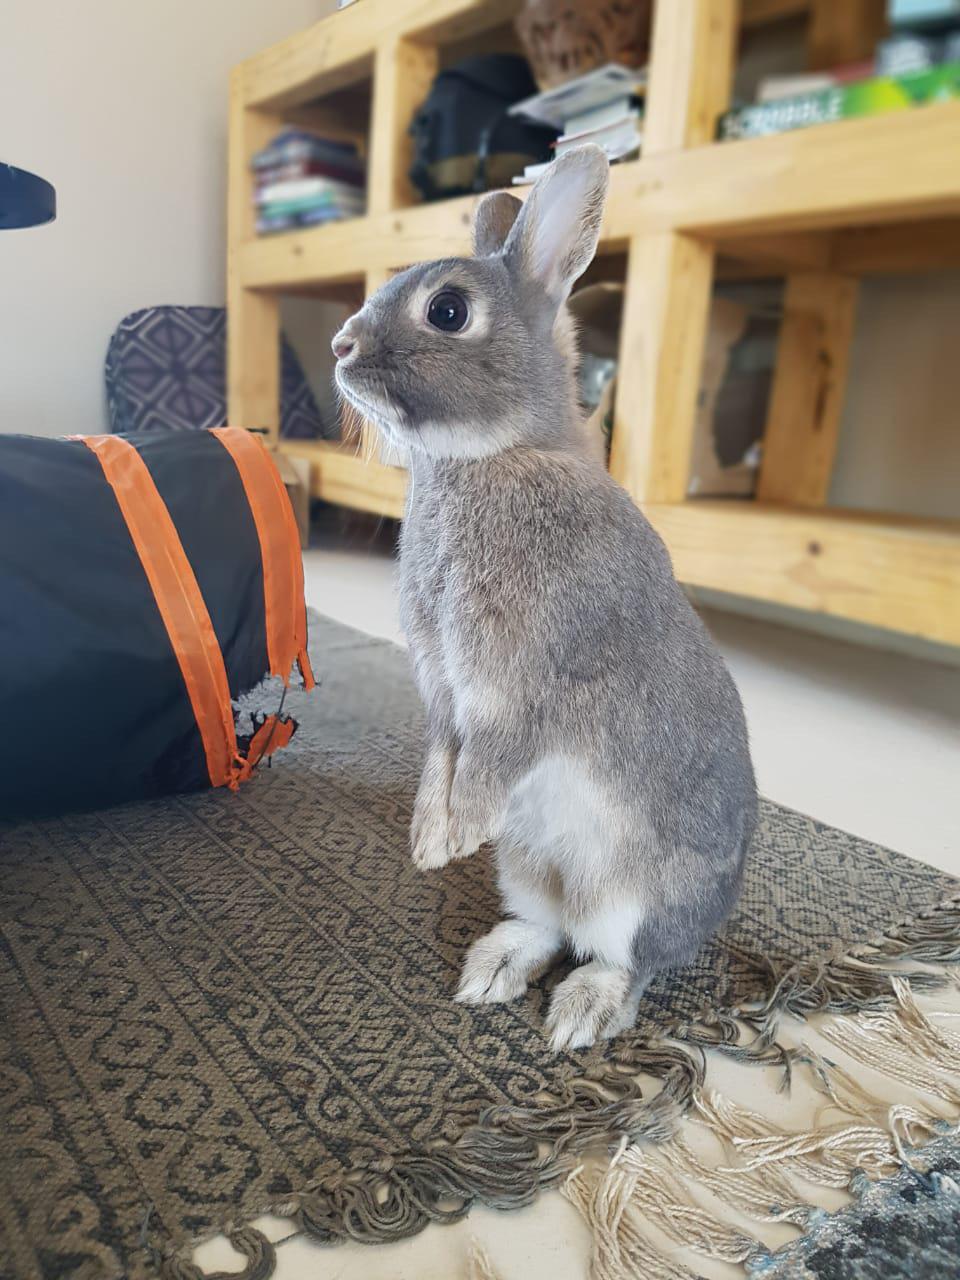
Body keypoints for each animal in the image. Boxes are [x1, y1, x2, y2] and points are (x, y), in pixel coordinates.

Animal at [331, 145, 757, 1052]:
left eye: (448, 310)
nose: (340, 344)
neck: (493, 455)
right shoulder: (444, 693)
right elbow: (441, 755)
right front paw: (429, 842)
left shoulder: (525, 688)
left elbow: (493, 757)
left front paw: (455, 835)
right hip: (527, 869)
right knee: (547, 928)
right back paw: (491, 972)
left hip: (637, 898)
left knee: (625, 963)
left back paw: (578, 1017)